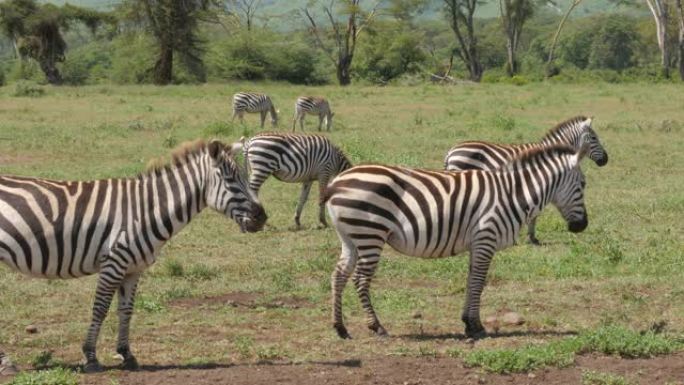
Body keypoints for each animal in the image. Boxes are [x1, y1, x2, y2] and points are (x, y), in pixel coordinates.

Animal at [0, 140, 268, 372]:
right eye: (230, 179)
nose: (262, 217)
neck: (143, 211)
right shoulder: (114, 262)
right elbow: (100, 309)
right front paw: (91, 357)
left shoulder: (133, 268)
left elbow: (126, 310)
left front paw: (126, 355)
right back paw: (7, 364)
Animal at [324, 142, 588, 338]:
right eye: (583, 185)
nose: (582, 226)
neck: (512, 194)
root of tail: (336, 183)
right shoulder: (486, 237)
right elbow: (479, 282)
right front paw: (476, 326)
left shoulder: (478, 243)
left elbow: (472, 280)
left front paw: (468, 322)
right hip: (370, 233)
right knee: (360, 279)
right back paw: (376, 326)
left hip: (351, 237)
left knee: (339, 276)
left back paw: (340, 328)